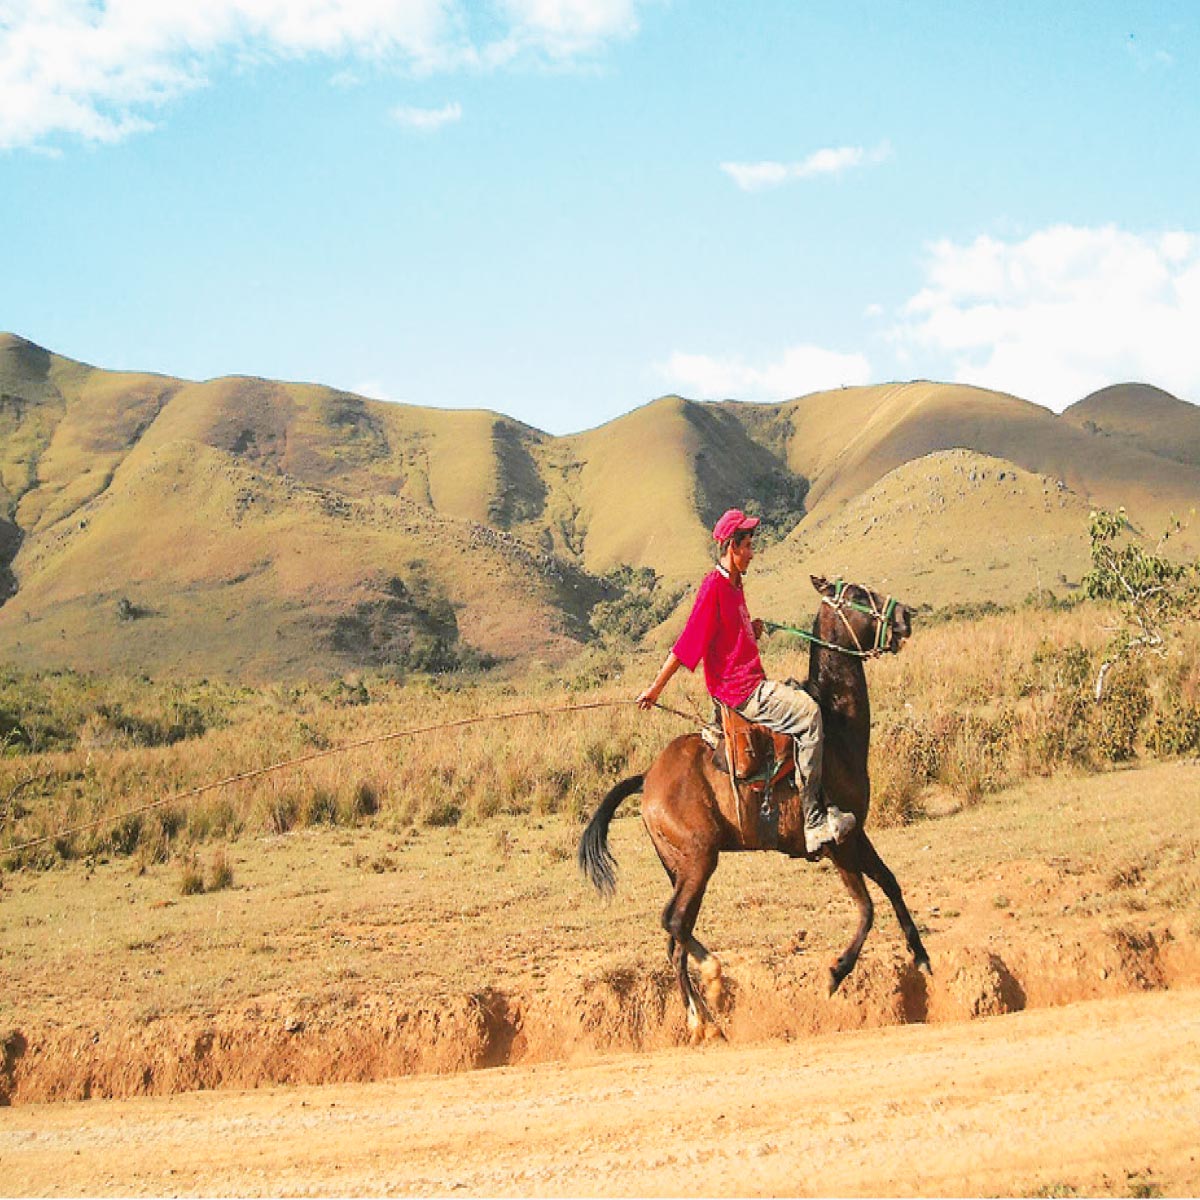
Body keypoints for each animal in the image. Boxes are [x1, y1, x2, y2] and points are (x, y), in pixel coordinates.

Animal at [576, 576, 931, 1036]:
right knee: (673, 922)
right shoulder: (839, 845)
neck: (836, 726)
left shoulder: (856, 833)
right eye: (858, 595)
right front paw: (836, 973)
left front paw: (921, 956)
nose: (905, 616)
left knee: (676, 938)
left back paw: (705, 1007)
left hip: (682, 869)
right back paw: (707, 993)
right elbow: (867, 907)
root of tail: (648, 779)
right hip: (699, 861)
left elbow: (890, 884)